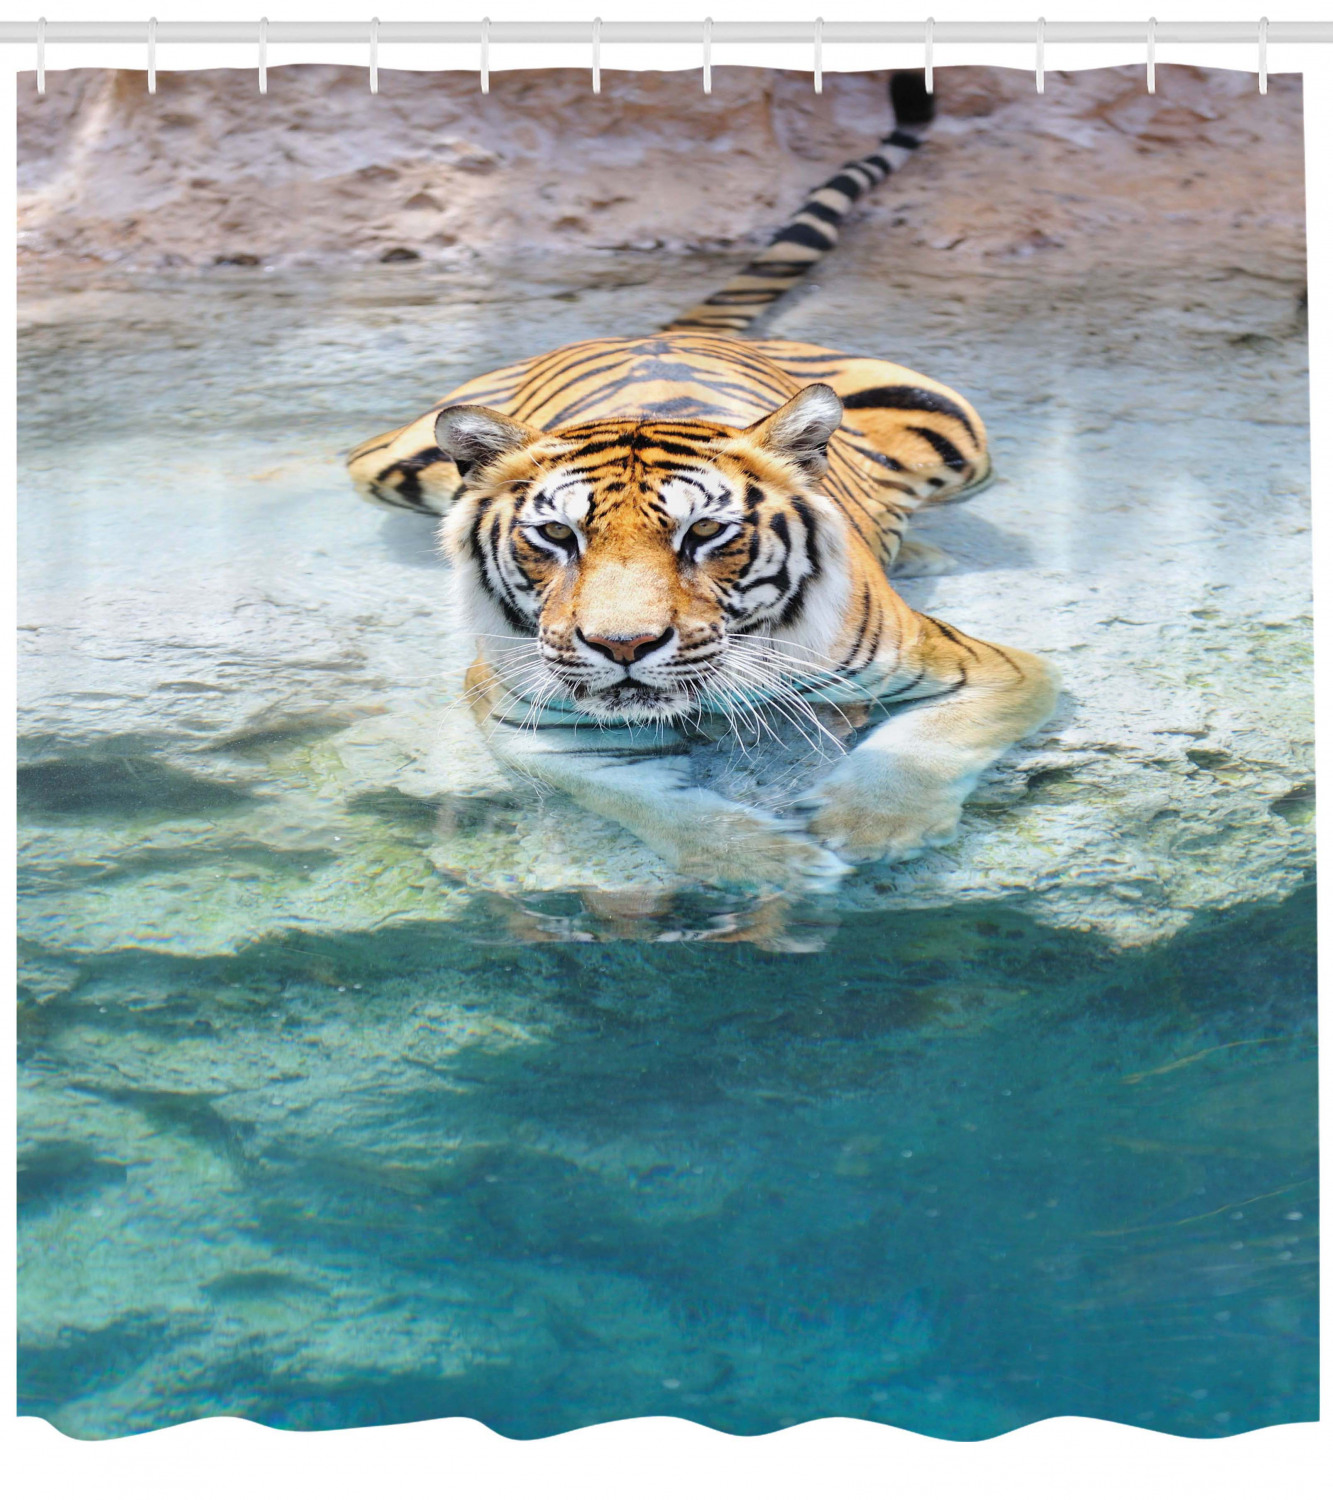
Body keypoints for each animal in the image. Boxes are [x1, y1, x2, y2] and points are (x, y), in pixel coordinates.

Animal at [346, 72, 1059, 891]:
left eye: (706, 533)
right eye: (556, 535)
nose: (622, 647)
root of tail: (660, 331)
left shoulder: (995, 671)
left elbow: (930, 741)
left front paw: (875, 826)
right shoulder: (527, 720)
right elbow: (649, 801)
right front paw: (767, 865)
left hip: (960, 432)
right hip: (381, 464)